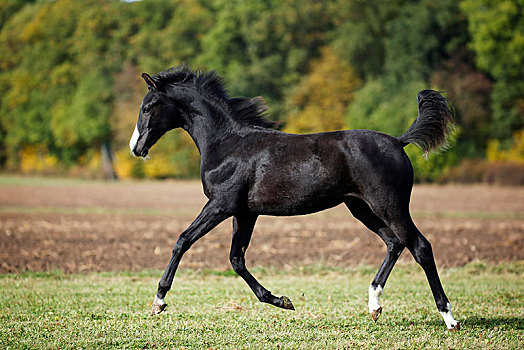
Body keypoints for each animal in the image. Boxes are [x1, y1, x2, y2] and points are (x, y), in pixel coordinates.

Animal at [130, 65, 458, 330]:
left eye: (147, 107)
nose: (136, 148)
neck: (228, 144)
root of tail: (398, 142)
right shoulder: (245, 212)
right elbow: (237, 259)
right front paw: (283, 301)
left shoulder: (221, 204)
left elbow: (183, 240)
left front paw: (159, 301)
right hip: (361, 207)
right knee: (394, 242)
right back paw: (374, 306)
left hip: (390, 205)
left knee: (420, 246)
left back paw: (449, 318)